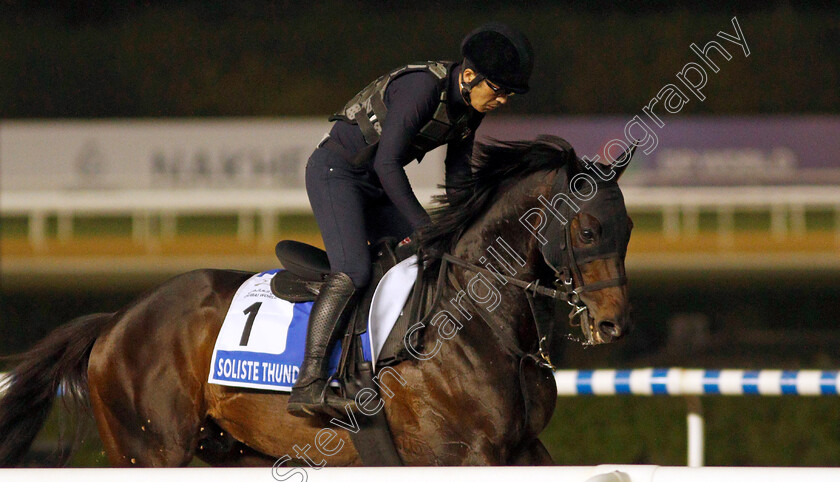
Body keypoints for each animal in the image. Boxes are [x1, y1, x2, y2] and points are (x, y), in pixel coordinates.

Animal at [0, 134, 632, 466]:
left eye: (626, 228)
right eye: (587, 230)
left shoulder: (524, 449)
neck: (474, 320)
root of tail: (115, 322)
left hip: (233, 449)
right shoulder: (461, 454)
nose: (612, 325)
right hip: (148, 451)